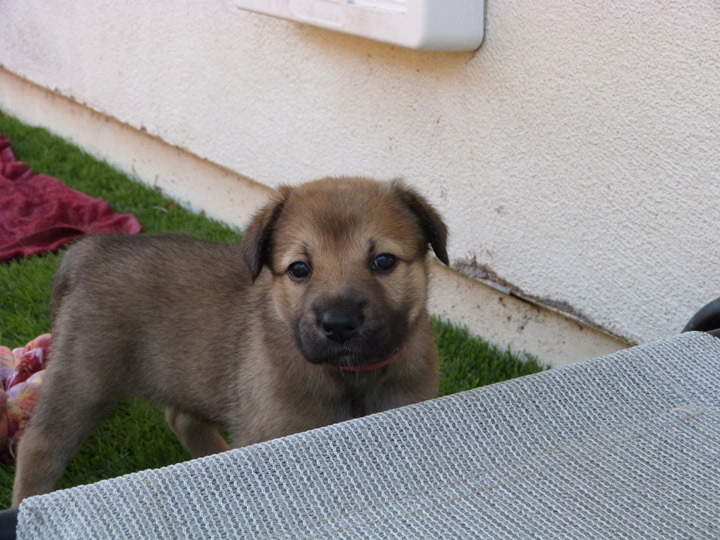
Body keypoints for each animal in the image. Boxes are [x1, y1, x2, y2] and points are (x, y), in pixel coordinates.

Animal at [12, 177, 444, 506]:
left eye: (383, 261)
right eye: (299, 269)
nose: (338, 324)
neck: (350, 377)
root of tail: (91, 248)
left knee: (182, 417)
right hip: (83, 379)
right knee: (39, 446)